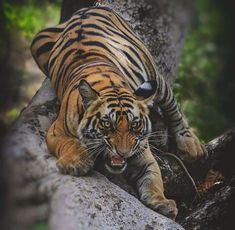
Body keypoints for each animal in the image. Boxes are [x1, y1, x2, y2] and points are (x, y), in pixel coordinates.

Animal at [30, 5, 205, 219]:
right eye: (107, 124)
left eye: (135, 125)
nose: (123, 152)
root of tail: (88, 8)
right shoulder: (56, 132)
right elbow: (71, 143)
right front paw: (75, 162)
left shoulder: (142, 153)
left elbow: (154, 178)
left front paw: (162, 202)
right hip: (38, 41)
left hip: (154, 76)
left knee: (173, 106)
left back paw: (190, 145)